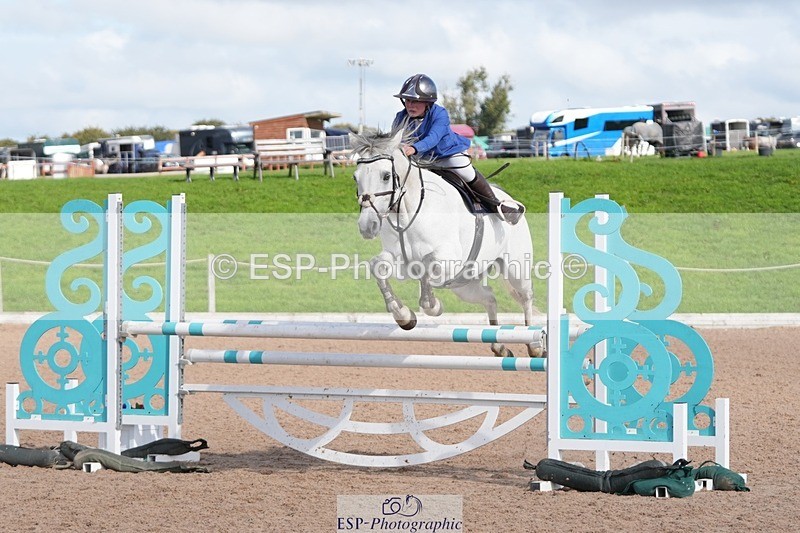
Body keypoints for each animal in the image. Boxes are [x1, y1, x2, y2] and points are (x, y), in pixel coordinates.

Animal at [350, 130, 541, 357]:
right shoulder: (398, 259)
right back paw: (500, 347)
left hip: (515, 269)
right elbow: (378, 266)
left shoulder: (447, 259)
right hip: (464, 284)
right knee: (489, 297)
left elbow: (427, 267)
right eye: (355, 177)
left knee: (526, 297)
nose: (366, 226)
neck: (407, 211)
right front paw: (404, 316)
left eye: (386, 176)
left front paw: (432, 305)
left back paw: (535, 345)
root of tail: (507, 198)